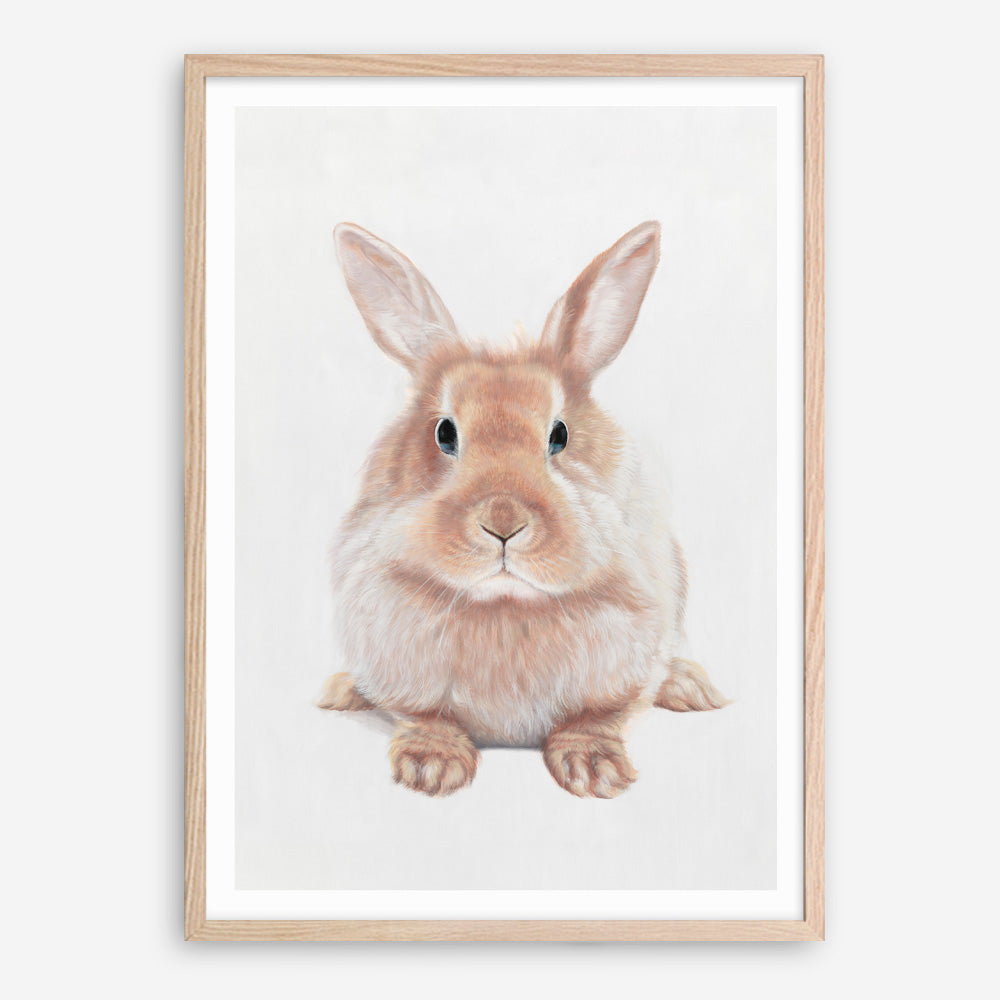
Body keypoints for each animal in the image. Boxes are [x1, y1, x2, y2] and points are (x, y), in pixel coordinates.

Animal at [318, 221, 728, 799]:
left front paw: (595, 771)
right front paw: (431, 767)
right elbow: (425, 716)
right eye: (444, 433)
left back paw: (692, 687)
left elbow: (595, 717)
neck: (505, 606)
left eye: (560, 435)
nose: (503, 523)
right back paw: (340, 690)